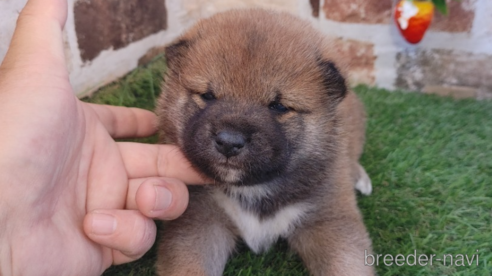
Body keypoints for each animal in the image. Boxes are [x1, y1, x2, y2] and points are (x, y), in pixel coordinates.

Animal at [156, 9, 374, 276]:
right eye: (207, 95)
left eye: (278, 106)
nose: (229, 142)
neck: (255, 188)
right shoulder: (199, 221)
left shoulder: (329, 219)